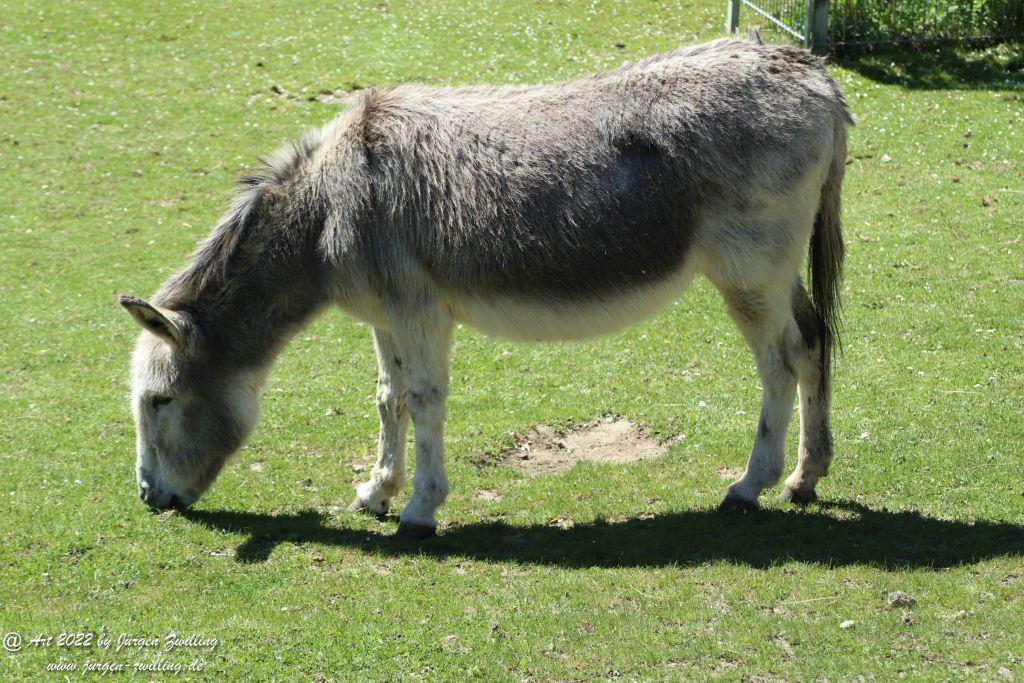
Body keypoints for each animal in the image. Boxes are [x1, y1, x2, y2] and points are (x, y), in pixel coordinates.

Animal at [119, 38, 850, 539]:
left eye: (159, 401)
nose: (149, 499)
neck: (328, 209)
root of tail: (810, 69)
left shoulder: (419, 312)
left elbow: (424, 401)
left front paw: (419, 509)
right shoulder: (385, 315)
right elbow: (388, 399)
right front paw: (377, 491)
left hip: (748, 273)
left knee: (780, 361)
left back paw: (750, 484)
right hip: (775, 274)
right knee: (814, 340)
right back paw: (806, 476)